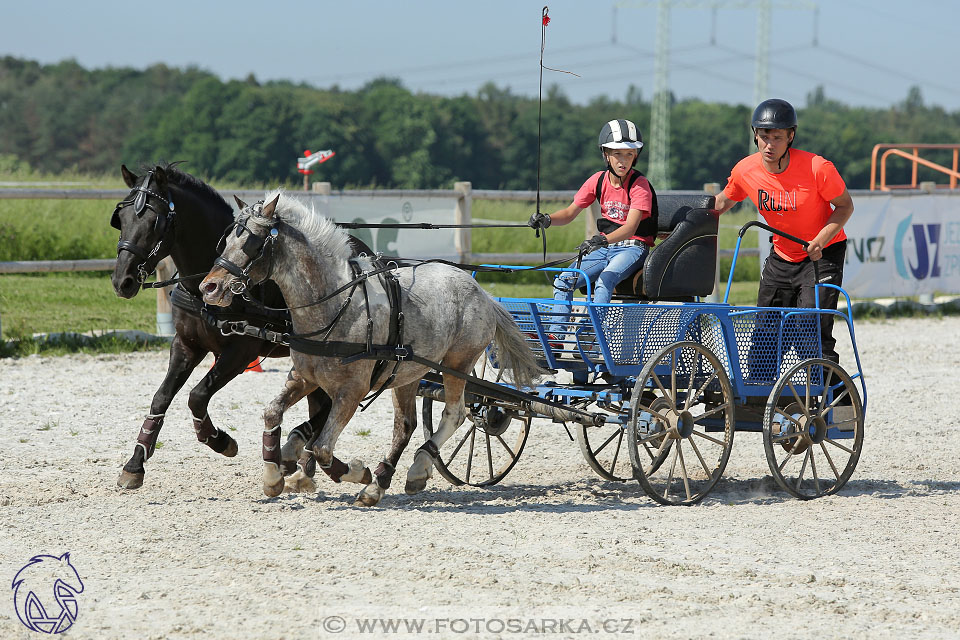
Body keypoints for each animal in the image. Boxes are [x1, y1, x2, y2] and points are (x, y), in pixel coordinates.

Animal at [109, 164, 372, 490]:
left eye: (153, 220)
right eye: (121, 219)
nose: (122, 281)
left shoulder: (241, 351)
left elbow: (197, 396)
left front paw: (220, 440)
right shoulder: (185, 344)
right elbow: (161, 397)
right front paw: (134, 464)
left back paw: (296, 452)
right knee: (321, 403)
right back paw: (305, 463)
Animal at [199, 192, 544, 508]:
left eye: (253, 242)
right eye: (227, 239)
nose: (209, 288)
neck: (335, 305)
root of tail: (482, 292)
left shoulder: (352, 391)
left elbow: (322, 448)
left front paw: (354, 471)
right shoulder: (303, 378)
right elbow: (273, 413)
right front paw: (274, 478)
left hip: (458, 363)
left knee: (455, 413)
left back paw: (414, 469)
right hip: (407, 374)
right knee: (405, 426)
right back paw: (380, 484)